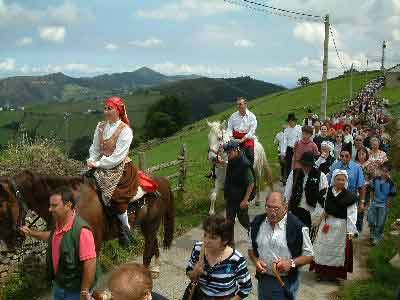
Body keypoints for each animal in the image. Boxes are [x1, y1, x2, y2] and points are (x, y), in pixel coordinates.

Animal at [0, 170, 173, 276]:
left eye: (2, 210)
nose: (10, 243)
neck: (72, 205)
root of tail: (161, 181)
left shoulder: (93, 243)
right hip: (146, 225)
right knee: (153, 243)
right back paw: (155, 269)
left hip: (150, 225)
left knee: (147, 252)